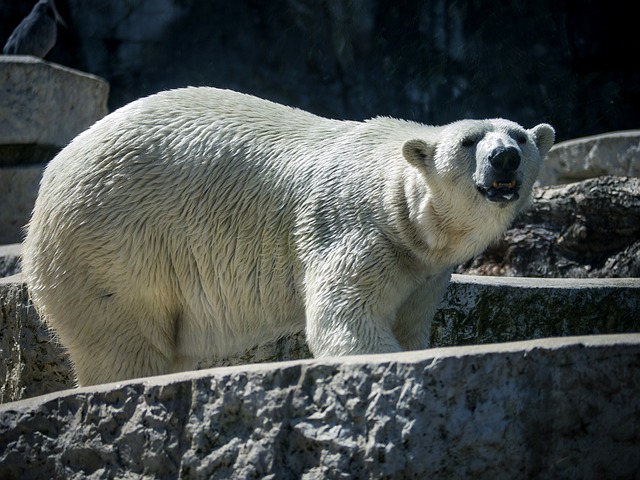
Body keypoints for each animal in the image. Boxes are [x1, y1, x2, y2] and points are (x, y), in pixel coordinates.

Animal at [21, 87, 556, 386]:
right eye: (468, 141)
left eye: (519, 136)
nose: (504, 158)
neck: (399, 205)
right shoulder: (356, 229)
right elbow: (346, 317)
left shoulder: (422, 268)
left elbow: (410, 321)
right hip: (112, 241)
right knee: (124, 339)